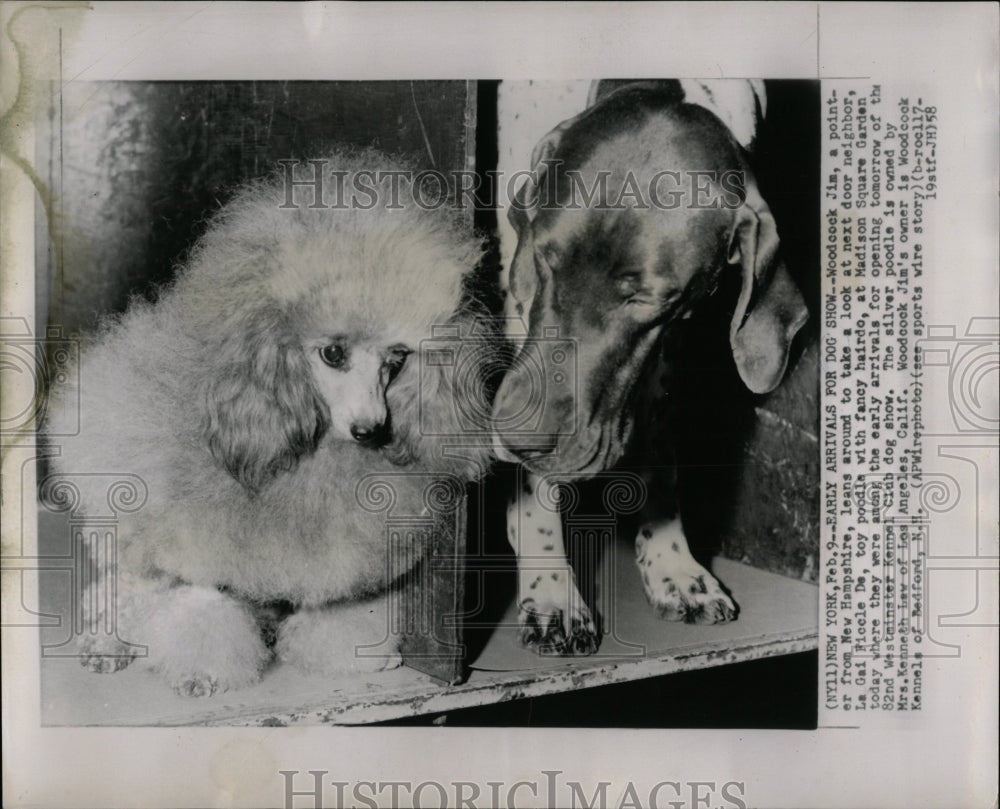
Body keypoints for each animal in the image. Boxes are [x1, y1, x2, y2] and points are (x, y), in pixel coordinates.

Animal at [494, 80, 812, 652]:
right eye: (546, 260)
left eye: (647, 299)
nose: (517, 439)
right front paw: (551, 588)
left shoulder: (671, 337)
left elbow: (660, 451)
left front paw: (671, 562)